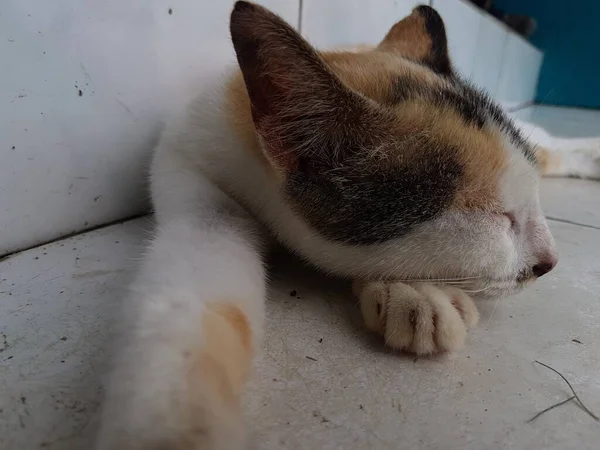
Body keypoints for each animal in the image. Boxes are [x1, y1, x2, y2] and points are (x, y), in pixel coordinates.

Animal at [94, 1, 600, 448]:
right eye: (497, 216)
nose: (551, 261)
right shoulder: (198, 190)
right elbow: (193, 301)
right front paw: (175, 423)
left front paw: (410, 291)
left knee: (544, 142)